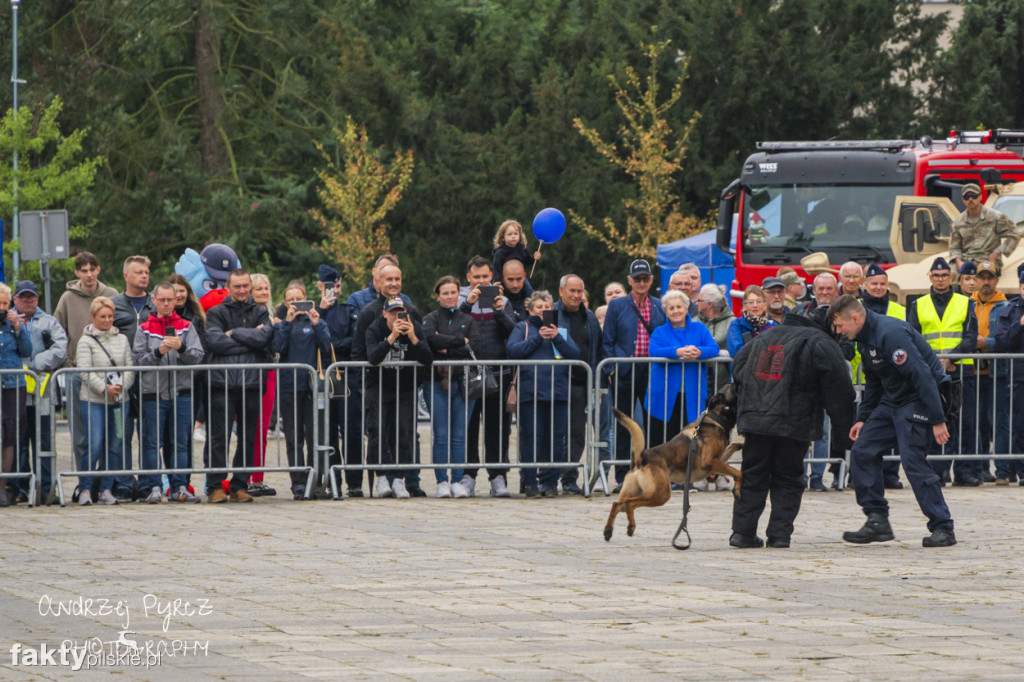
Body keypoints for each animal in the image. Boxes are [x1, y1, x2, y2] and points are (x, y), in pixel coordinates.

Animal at [598, 385, 745, 540]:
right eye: (734, 388)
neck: (715, 419)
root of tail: (641, 459)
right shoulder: (711, 462)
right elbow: (738, 472)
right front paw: (737, 490)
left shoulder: (718, 462)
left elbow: (734, 444)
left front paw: (743, 444)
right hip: (660, 494)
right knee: (629, 503)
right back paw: (631, 526)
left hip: (637, 491)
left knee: (617, 504)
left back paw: (608, 530)